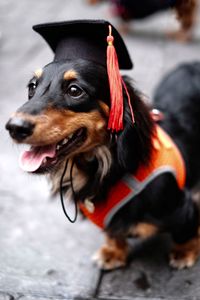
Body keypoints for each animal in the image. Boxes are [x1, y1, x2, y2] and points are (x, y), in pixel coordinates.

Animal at [5, 19, 200, 270]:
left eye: (74, 90)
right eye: (32, 87)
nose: (14, 128)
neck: (107, 169)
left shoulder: (182, 208)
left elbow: (186, 231)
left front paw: (185, 252)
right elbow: (113, 233)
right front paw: (113, 251)